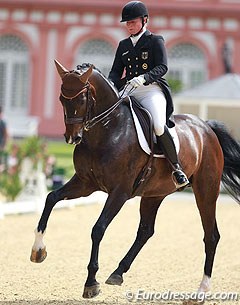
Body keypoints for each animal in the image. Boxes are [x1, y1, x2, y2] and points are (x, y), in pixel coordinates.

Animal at [31, 60, 240, 298]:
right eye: (61, 98)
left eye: (82, 98)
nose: (72, 138)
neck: (107, 130)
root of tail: (206, 127)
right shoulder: (85, 184)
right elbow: (51, 198)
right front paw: (38, 250)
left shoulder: (119, 192)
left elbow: (98, 229)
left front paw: (91, 282)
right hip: (154, 194)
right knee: (146, 231)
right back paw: (117, 273)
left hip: (206, 191)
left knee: (211, 235)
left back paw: (202, 289)